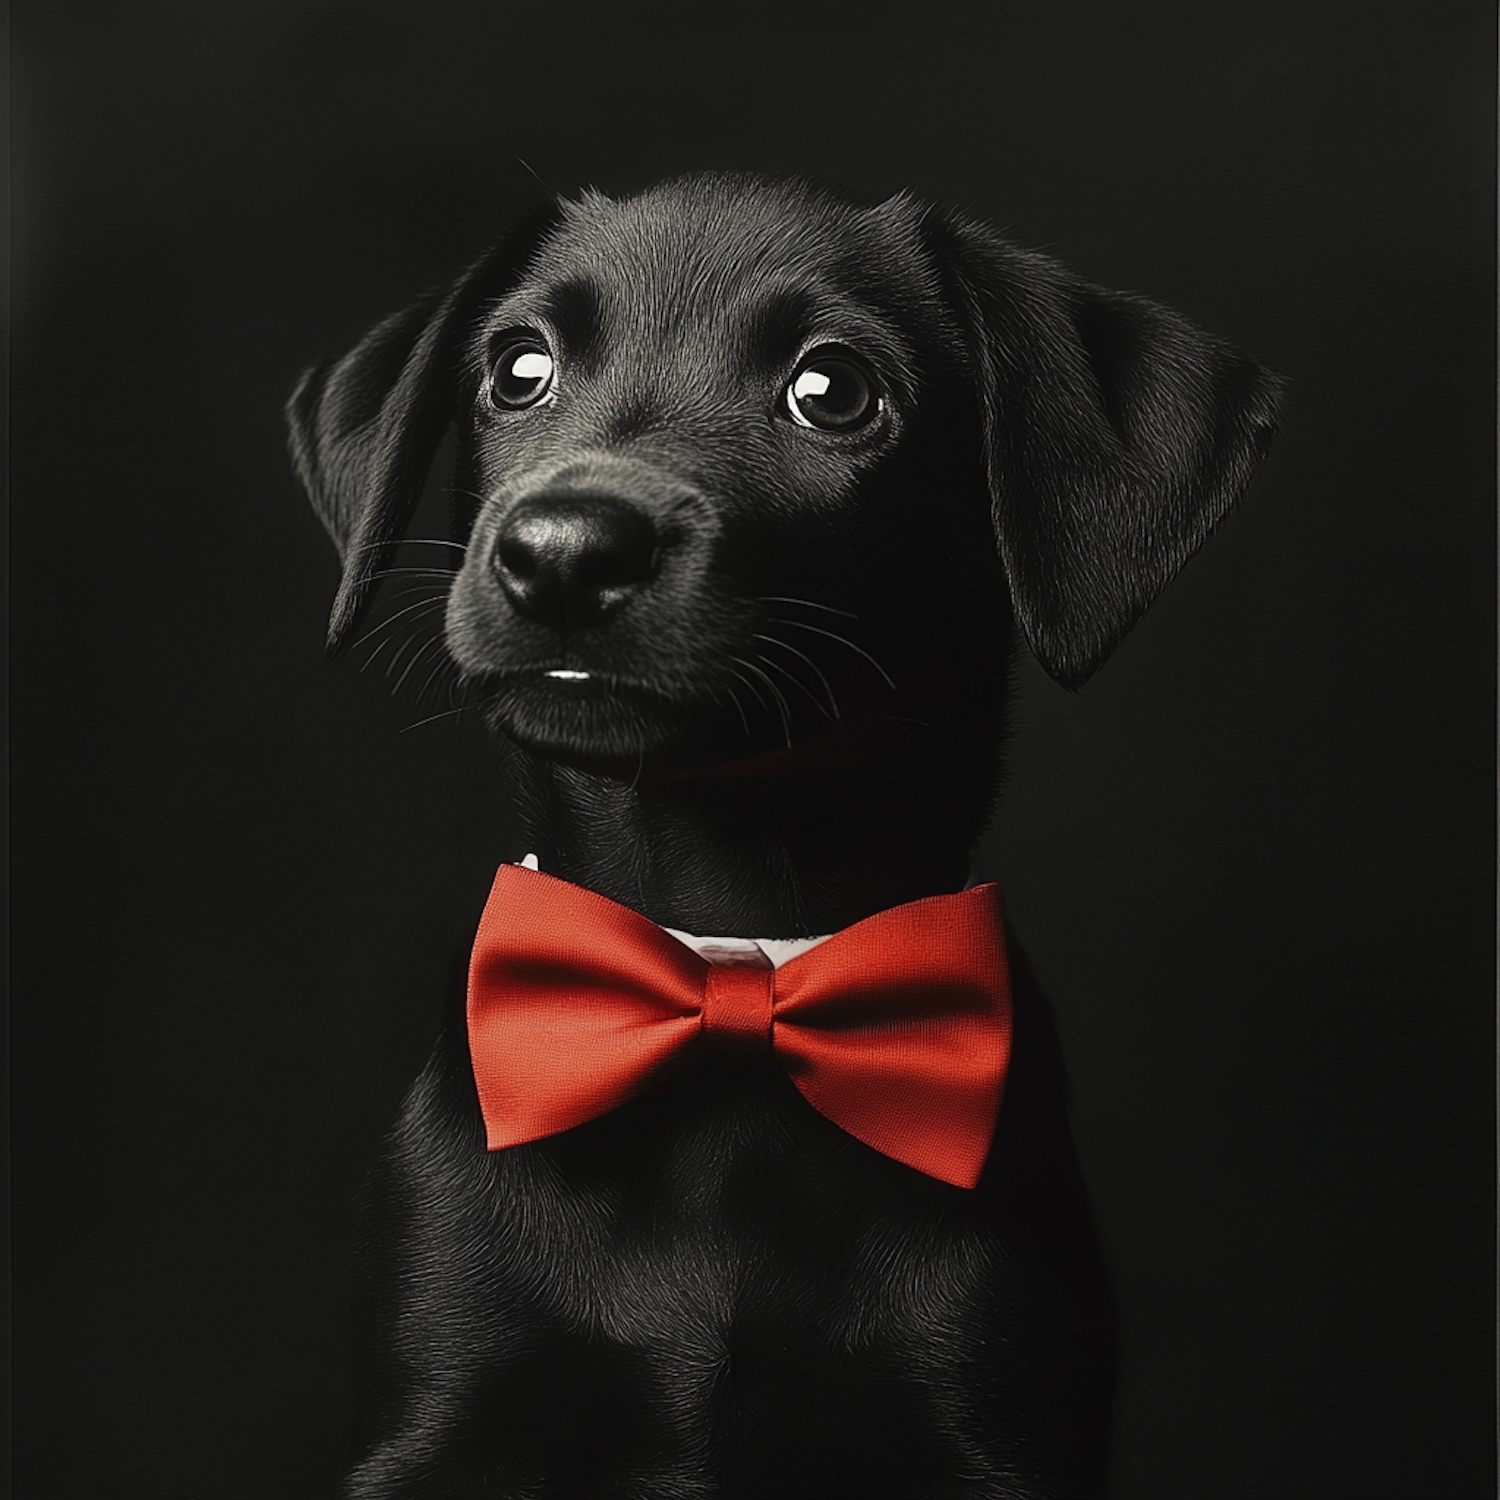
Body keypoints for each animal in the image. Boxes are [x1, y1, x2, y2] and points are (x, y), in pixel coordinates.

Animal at [289, 178, 1278, 1500]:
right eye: (518, 369)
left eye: (833, 390)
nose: (564, 552)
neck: (729, 953)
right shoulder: (441, 1416)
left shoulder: (989, 1422)